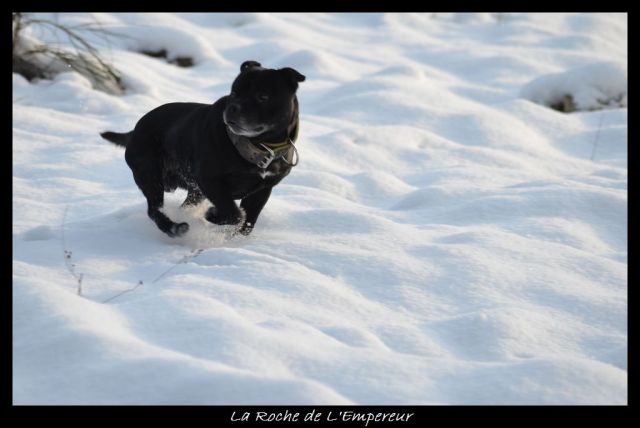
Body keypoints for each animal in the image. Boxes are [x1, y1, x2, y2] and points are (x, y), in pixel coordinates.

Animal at [101, 61, 306, 237]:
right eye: (233, 93)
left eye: (263, 96)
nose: (233, 108)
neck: (259, 147)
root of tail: (135, 129)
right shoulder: (209, 180)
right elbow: (234, 213)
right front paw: (212, 215)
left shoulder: (262, 190)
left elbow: (248, 221)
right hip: (150, 174)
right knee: (154, 210)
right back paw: (175, 228)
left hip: (192, 190)